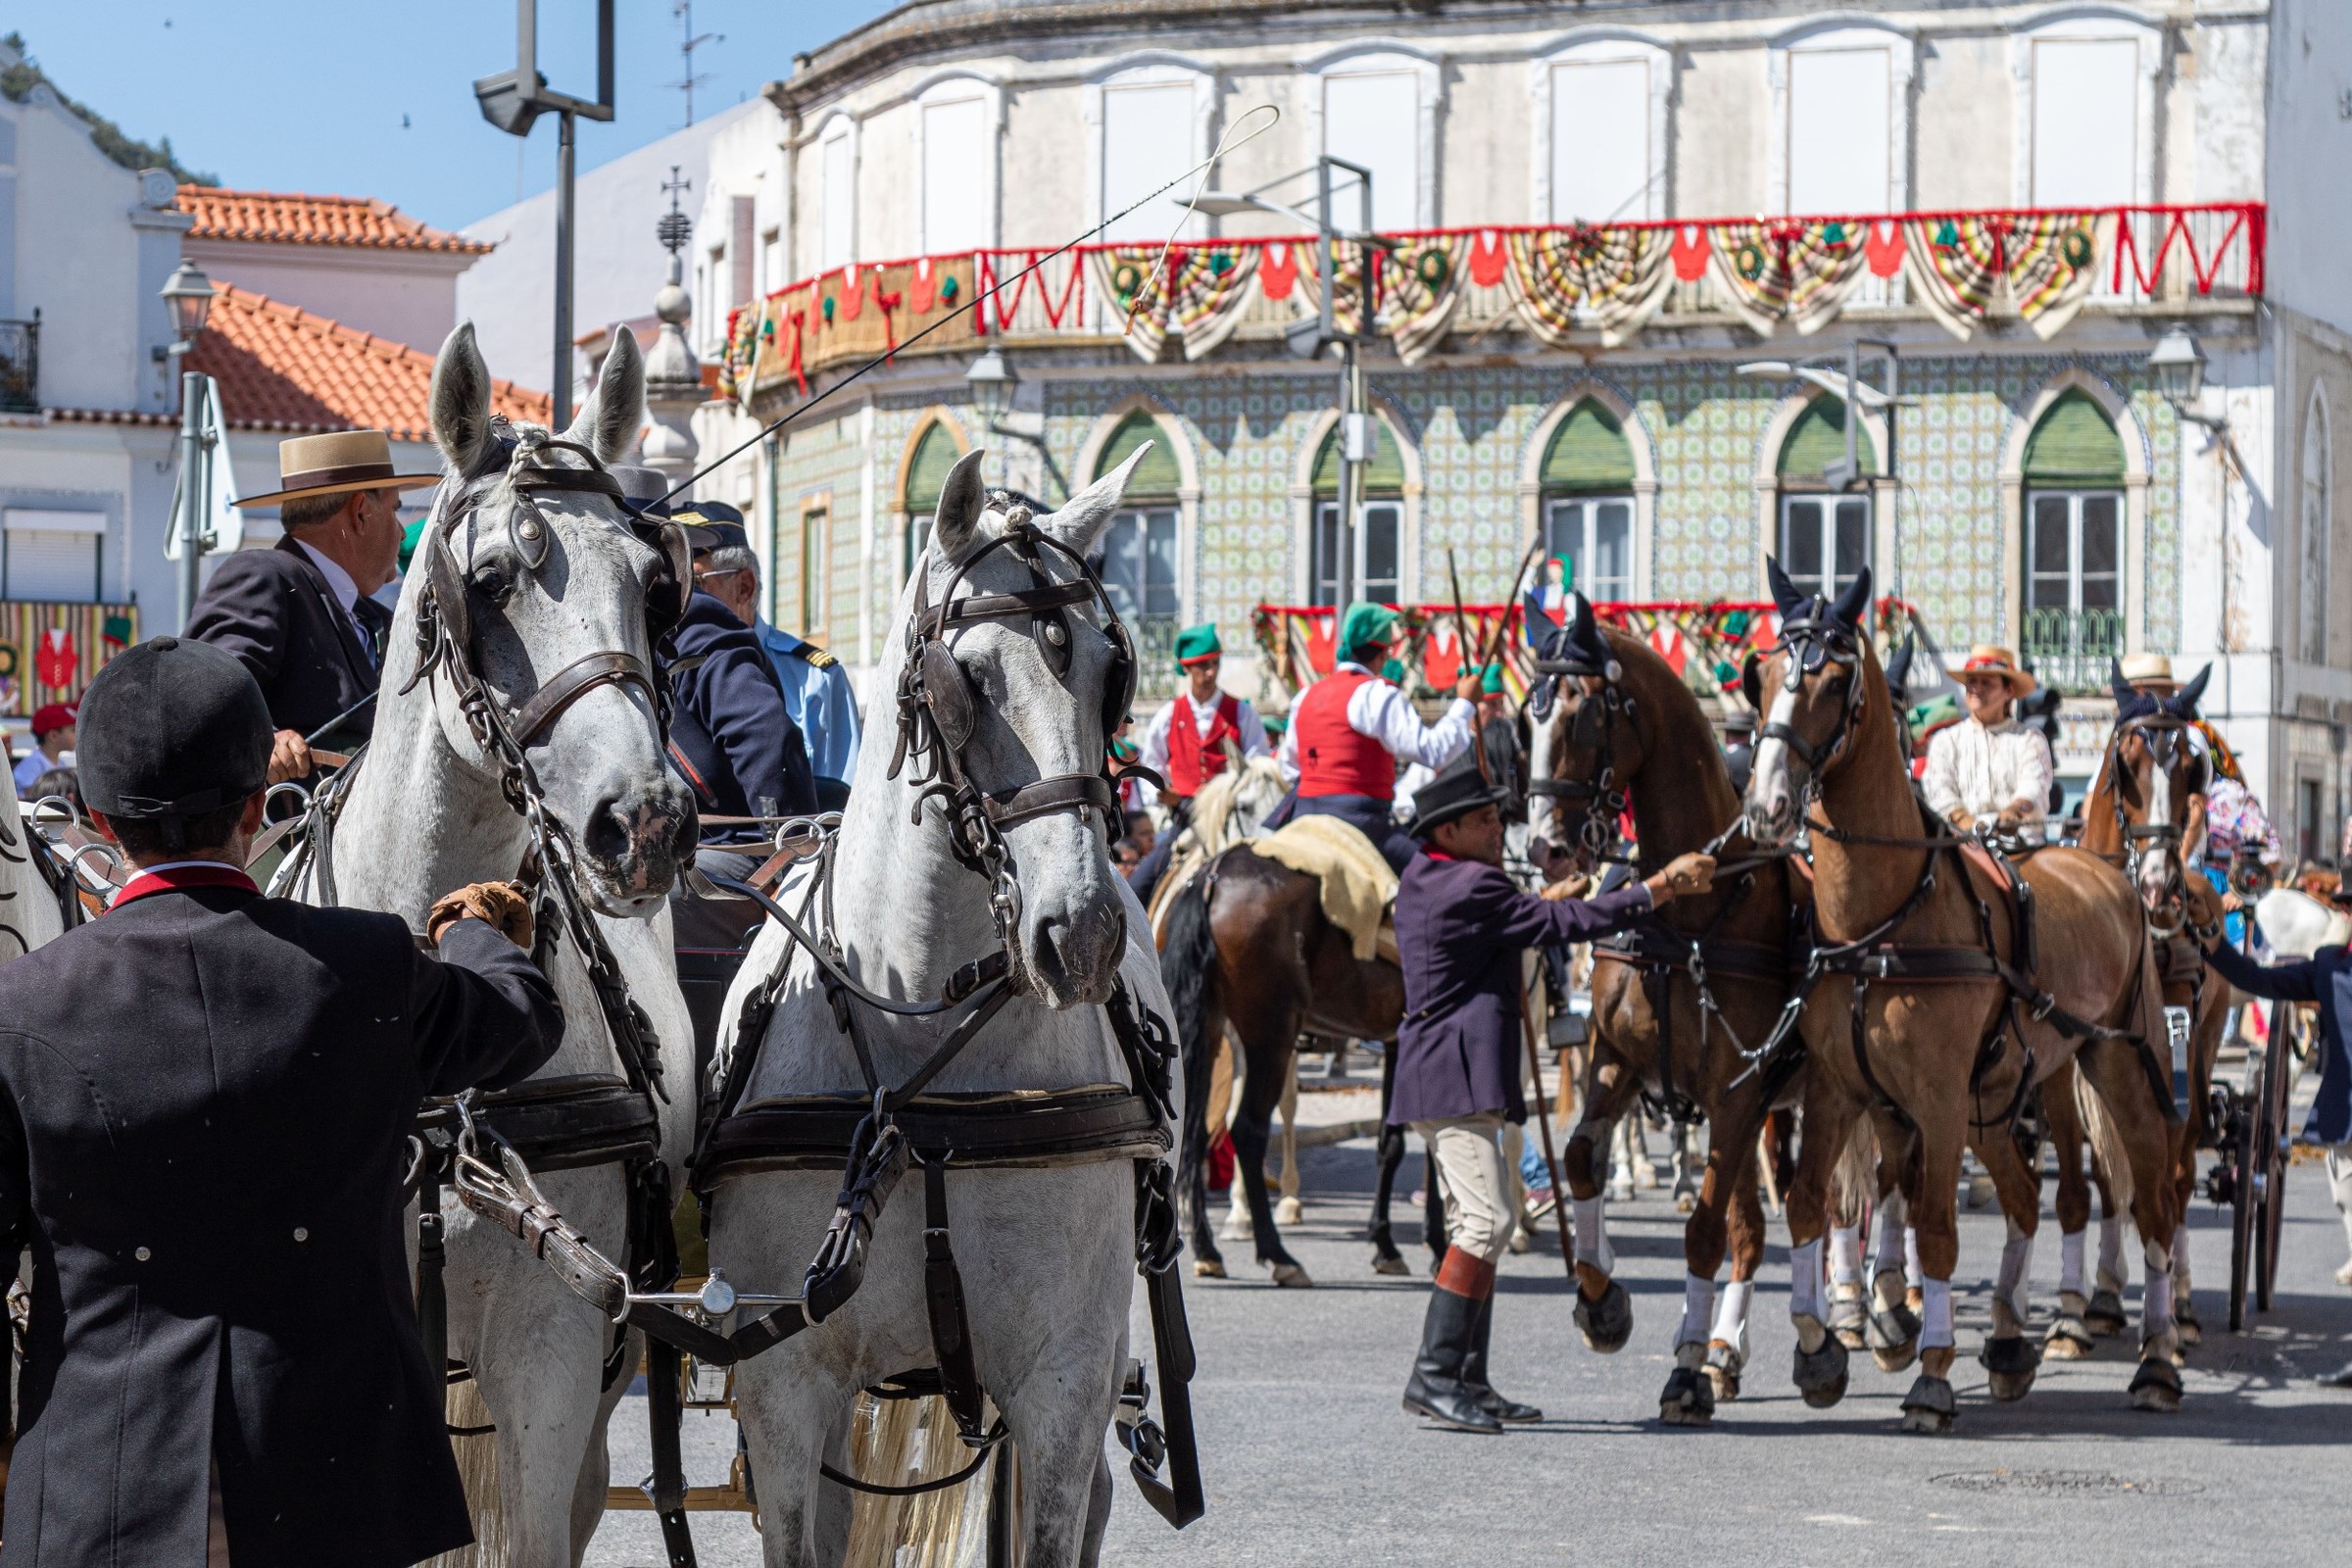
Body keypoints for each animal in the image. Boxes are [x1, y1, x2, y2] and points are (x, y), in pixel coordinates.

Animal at [1524, 597, 1815, 1419]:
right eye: (1529, 714)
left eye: (1586, 713)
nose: (1545, 849)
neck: (1694, 910)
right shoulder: (1621, 1064)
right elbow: (1581, 1157)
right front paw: (1600, 1298)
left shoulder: (1736, 1093)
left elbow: (1703, 1231)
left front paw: (1683, 1369)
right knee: (1759, 1225)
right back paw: (1728, 1347)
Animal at [1749, 564, 2182, 1439]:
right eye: (1767, 675)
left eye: (1835, 680)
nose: (1768, 803)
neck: (1883, 918)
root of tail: (2107, 870)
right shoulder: (1841, 1088)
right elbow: (1813, 1204)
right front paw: (1822, 1349)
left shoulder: (1938, 1101)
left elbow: (1938, 1231)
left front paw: (1931, 1374)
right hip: (1993, 1103)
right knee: (2021, 1198)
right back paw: (2013, 1344)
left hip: (2116, 1067)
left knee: (2148, 1201)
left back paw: (2155, 1358)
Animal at [2050, 662, 2230, 1363]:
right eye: (2124, 766)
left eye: (2193, 770)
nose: (2159, 887)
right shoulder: (2059, 1070)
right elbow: (2086, 1188)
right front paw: (2074, 1314)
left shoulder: (2167, 1066)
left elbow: (2162, 1186)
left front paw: (2166, 1324)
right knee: (2116, 1181)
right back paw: (2105, 1300)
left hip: (2200, 1055)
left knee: (2178, 1179)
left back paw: (2181, 1308)